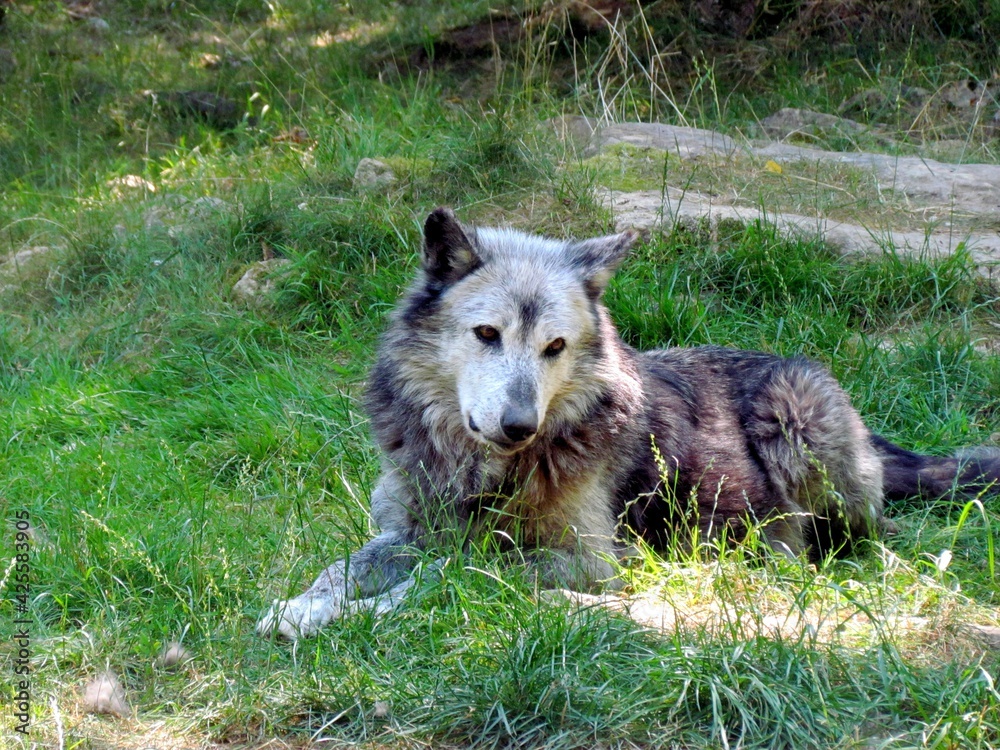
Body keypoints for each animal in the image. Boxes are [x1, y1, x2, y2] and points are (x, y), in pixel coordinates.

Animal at [258, 208, 1000, 639]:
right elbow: (340, 568)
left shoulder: (586, 562)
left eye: (554, 347)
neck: (482, 470)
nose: (519, 425)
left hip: (795, 412)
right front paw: (302, 606)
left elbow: (449, 577)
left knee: (847, 542)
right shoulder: (403, 532)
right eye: (486, 334)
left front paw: (355, 616)